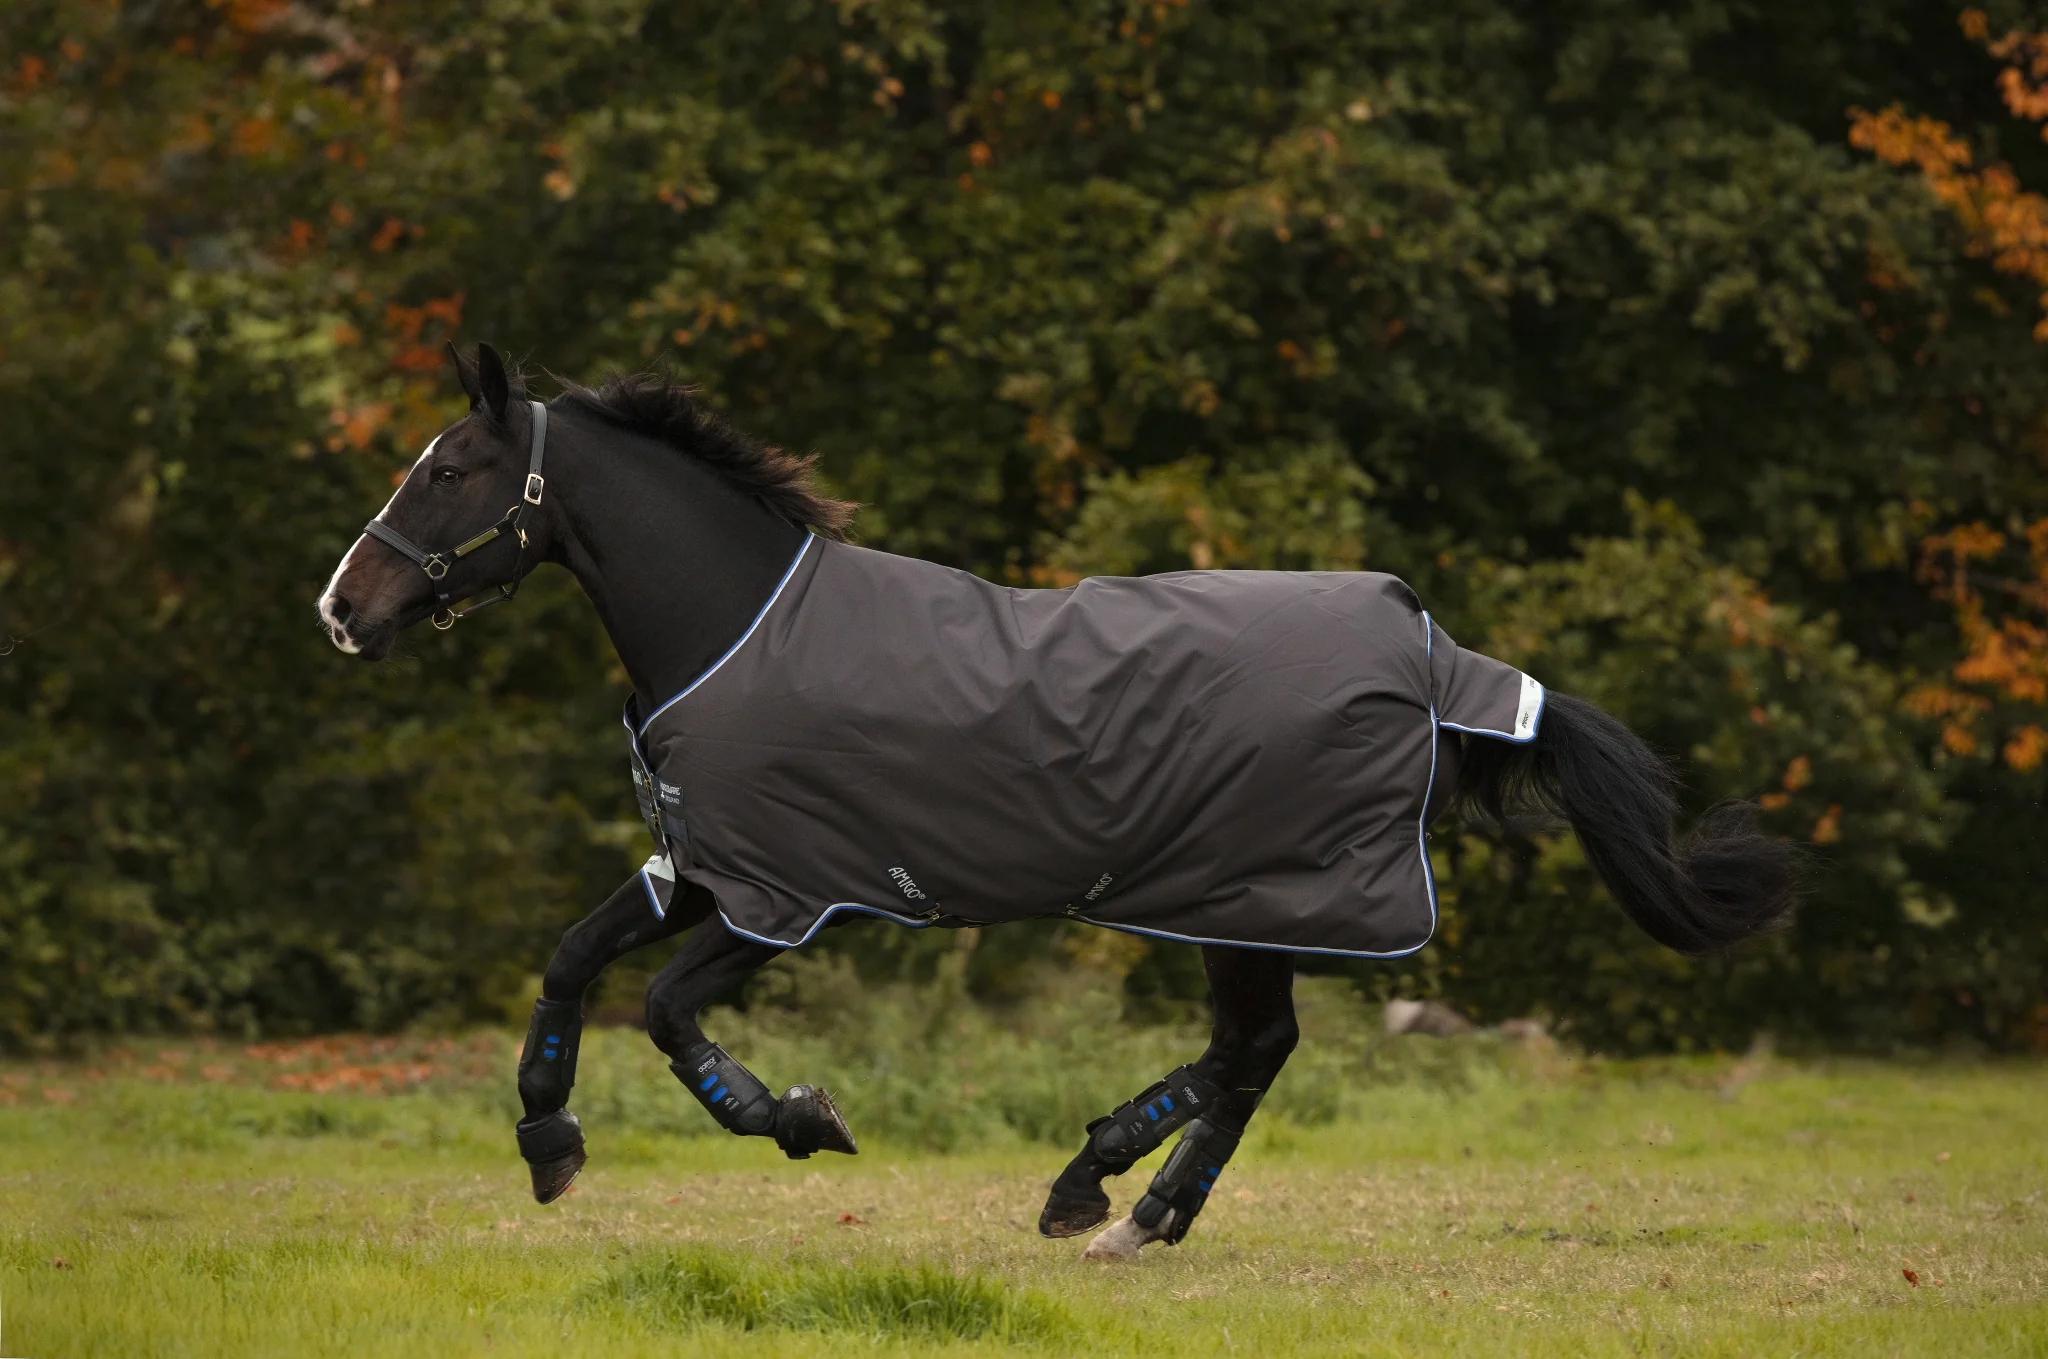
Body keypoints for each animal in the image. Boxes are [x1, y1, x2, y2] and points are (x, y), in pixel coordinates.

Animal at [317, 343, 1796, 1261]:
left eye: (446, 471)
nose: (342, 609)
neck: (734, 630)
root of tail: (1428, 654)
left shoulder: (786, 898)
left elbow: (670, 1013)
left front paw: (805, 1120)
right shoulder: (700, 869)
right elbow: (571, 960)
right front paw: (548, 1142)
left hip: (1245, 899)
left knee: (1251, 1051)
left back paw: (1098, 1188)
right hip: (1240, 906)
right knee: (1256, 1053)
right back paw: (1137, 1209)